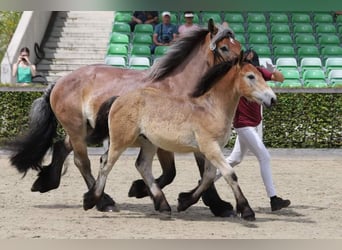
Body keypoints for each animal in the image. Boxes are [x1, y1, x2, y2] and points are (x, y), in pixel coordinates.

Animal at [9, 20, 242, 214]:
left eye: (238, 45)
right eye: (223, 47)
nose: (244, 64)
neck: (178, 87)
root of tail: (59, 81)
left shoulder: (197, 139)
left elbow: (200, 172)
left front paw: (217, 205)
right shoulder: (168, 141)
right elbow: (171, 173)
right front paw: (142, 190)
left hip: (87, 130)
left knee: (61, 147)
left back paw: (47, 182)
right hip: (77, 129)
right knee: (82, 161)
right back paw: (102, 201)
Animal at [83, 53, 278, 221]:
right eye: (251, 76)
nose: (273, 99)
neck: (211, 108)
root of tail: (118, 98)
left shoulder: (212, 150)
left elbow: (208, 176)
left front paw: (184, 202)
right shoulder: (210, 147)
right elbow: (230, 174)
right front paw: (247, 211)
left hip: (148, 143)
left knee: (142, 166)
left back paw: (163, 206)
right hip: (121, 140)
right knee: (106, 164)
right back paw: (91, 200)